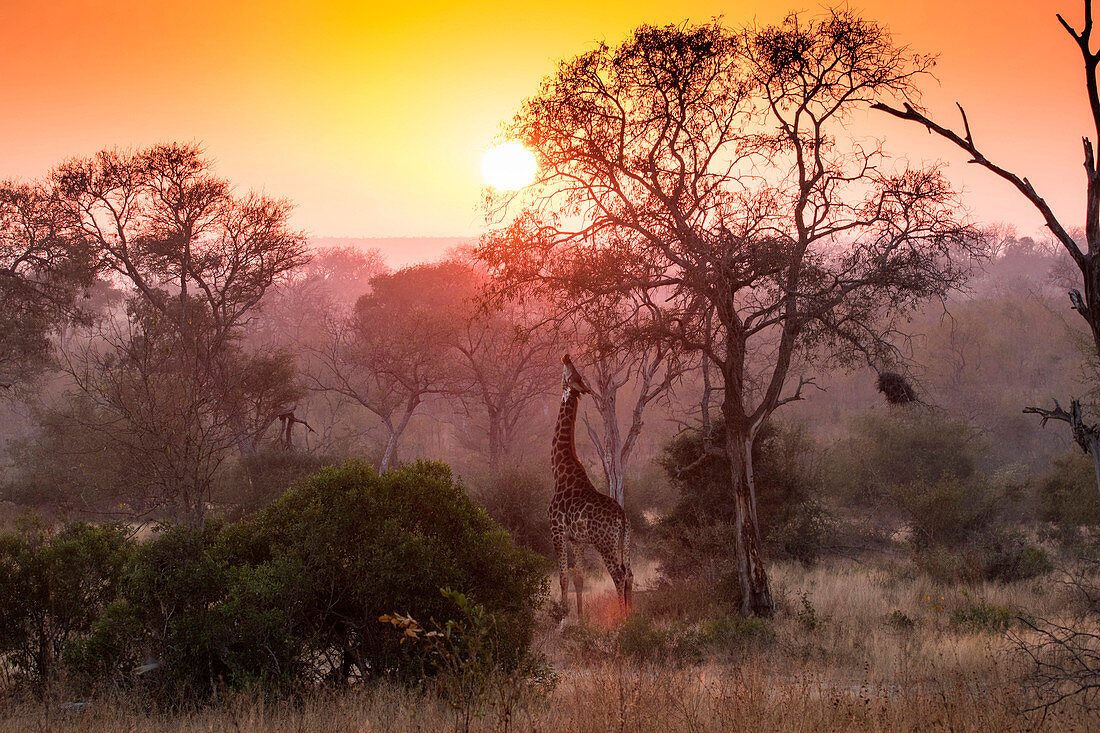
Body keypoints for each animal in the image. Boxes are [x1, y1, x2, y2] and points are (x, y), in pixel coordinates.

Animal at [550, 354, 638, 616]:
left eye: (573, 373)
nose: (566, 356)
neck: (559, 470)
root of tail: (623, 518)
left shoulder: (556, 531)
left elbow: (563, 579)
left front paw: (563, 618)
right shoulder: (576, 539)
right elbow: (578, 578)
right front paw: (580, 618)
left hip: (605, 544)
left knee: (619, 575)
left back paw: (622, 618)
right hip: (624, 541)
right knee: (629, 573)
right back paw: (632, 615)